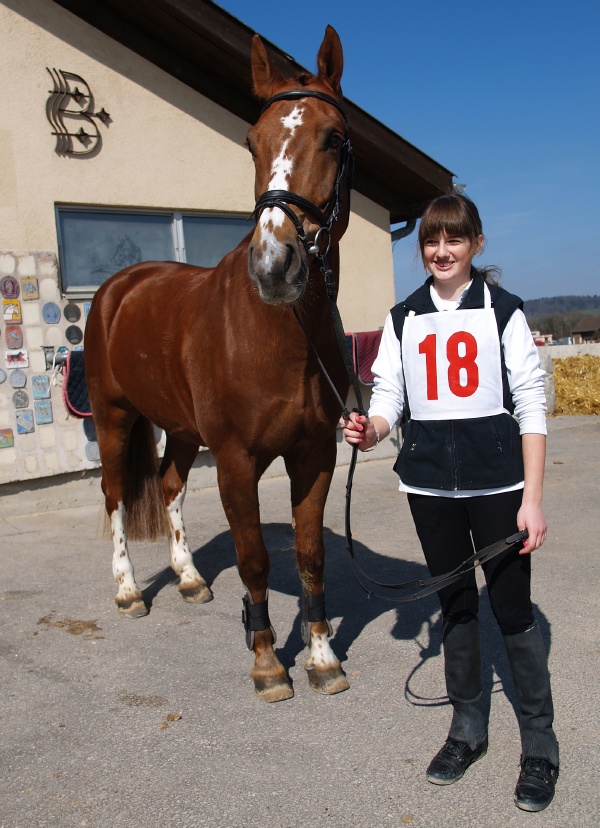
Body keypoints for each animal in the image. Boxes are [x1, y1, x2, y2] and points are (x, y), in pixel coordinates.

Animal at [84, 26, 353, 703]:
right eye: (252, 142)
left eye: (334, 138)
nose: (275, 266)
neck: (278, 334)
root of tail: (119, 287)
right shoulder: (234, 459)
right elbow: (255, 557)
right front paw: (266, 661)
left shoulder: (315, 455)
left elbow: (310, 556)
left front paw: (322, 657)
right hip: (112, 416)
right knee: (115, 494)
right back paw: (128, 590)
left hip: (181, 429)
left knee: (170, 486)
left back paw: (187, 578)